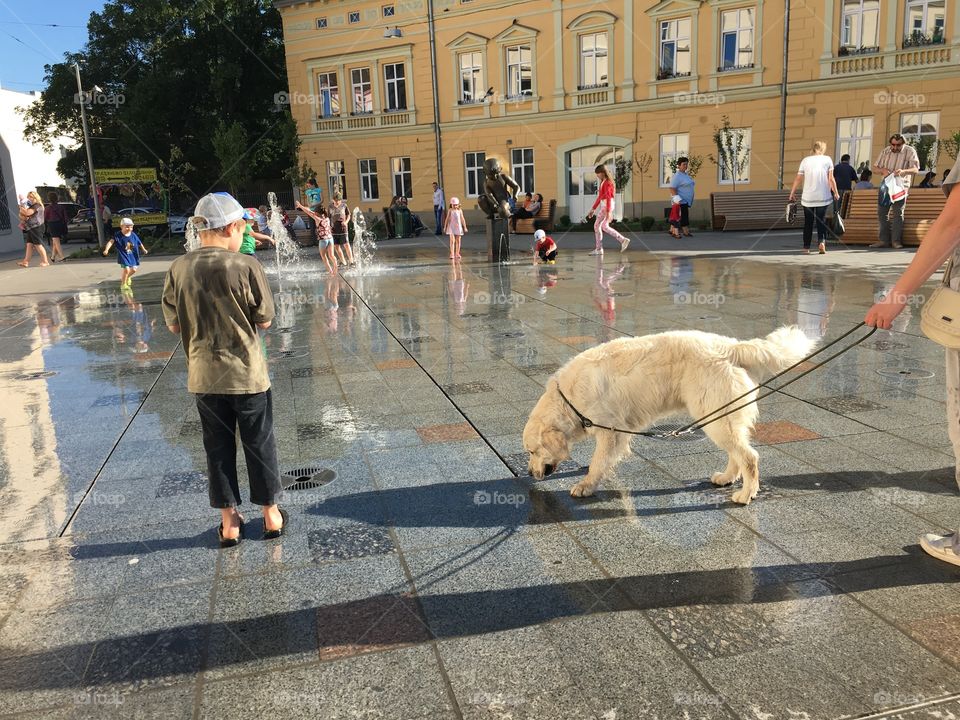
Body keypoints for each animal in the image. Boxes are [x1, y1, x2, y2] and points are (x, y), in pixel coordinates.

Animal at [524, 324, 816, 500]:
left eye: (533, 451)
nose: (528, 474)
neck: (567, 398)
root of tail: (732, 346)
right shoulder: (618, 432)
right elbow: (605, 459)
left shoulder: (610, 430)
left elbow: (598, 462)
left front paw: (586, 485)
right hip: (719, 416)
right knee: (738, 454)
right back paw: (726, 478)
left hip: (714, 419)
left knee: (749, 457)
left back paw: (746, 495)